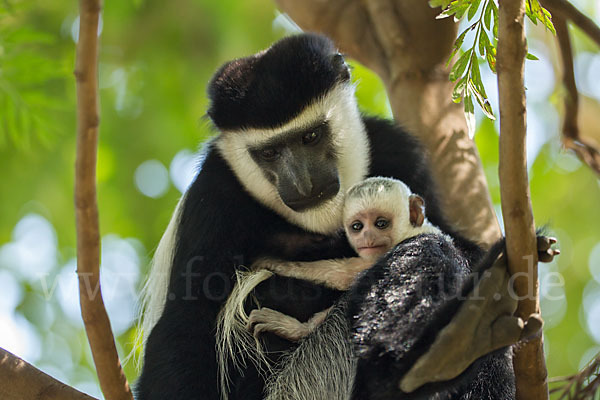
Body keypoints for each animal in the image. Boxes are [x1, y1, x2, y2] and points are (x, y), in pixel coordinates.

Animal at [246, 177, 442, 340]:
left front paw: (275, 264)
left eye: (380, 223)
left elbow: (339, 276)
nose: (367, 237)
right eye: (357, 226)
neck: (409, 232)